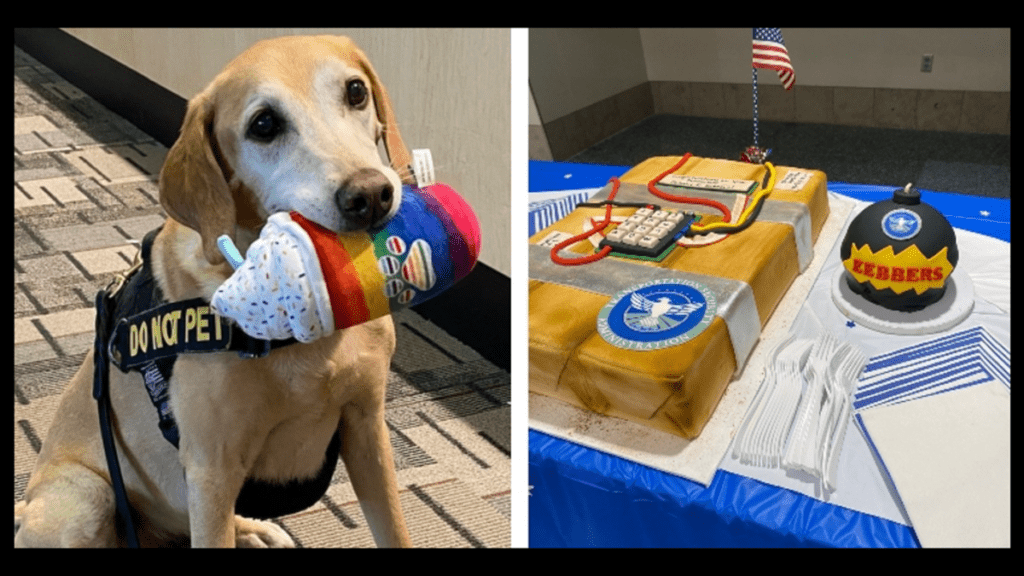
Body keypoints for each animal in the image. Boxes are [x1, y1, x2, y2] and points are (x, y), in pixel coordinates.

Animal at [14, 35, 411, 545]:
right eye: (264, 124)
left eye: (356, 91)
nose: (371, 195)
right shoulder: (211, 471)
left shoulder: (367, 428)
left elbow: (394, 530)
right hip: (85, 497)